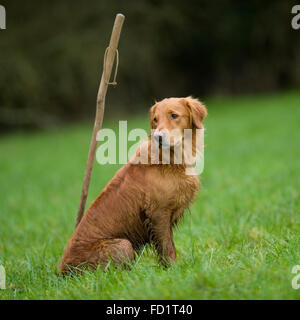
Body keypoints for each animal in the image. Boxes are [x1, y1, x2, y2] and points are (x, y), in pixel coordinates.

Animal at [59, 96, 209, 274]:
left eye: (174, 115)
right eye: (155, 119)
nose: (158, 137)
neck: (170, 159)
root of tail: (61, 270)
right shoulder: (158, 213)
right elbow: (167, 247)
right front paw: (172, 270)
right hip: (123, 244)